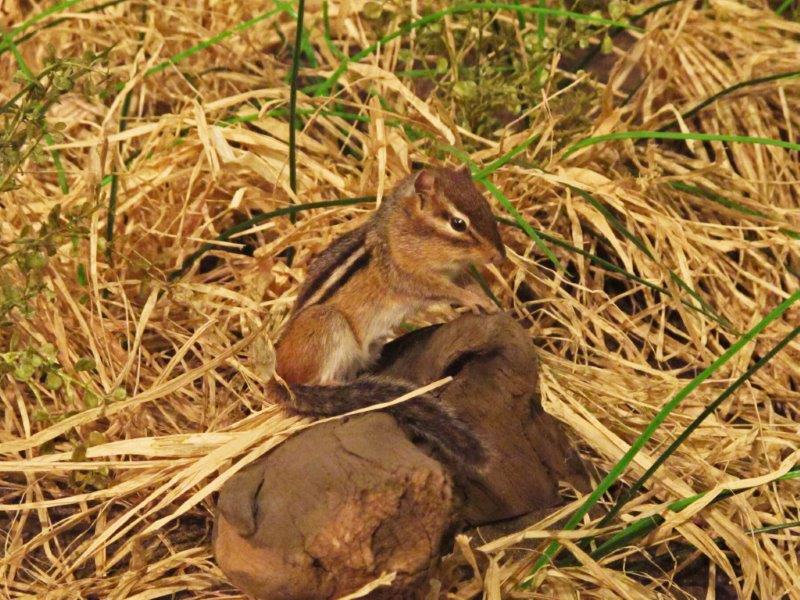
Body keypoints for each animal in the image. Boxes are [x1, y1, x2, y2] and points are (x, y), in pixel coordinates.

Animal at [270, 167, 505, 472]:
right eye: (458, 223)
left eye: (486, 205)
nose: (499, 257)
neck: (402, 228)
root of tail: (277, 378)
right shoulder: (410, 277)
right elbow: (443, 290)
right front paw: (474, 300)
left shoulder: (452, 272)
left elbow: (464, 283)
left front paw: (484, 297)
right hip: (327, 322)